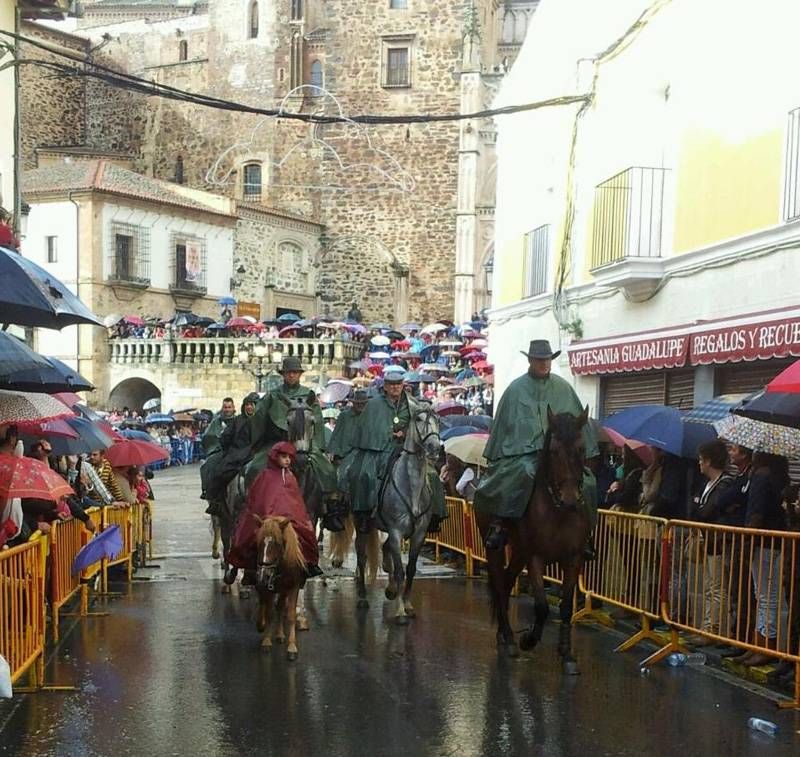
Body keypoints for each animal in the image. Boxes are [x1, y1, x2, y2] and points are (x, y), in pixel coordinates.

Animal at [256, 516, 306, 660]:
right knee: (271, 604)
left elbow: (290, 615)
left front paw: (292, 647)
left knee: (281, 606)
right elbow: (269, 613)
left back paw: (280, 634)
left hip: (284, 589)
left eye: (277, 544)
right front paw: (266, 641)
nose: (264, 575)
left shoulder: (294, 586)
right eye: (259, 543)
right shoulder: (269, 588)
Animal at [478, 404, 592, 676]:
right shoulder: (536, 558)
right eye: (553, 450)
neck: (557, 510)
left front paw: (567, 654)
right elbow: (541, 607)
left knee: (507, 582)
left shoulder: (573, 559)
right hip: (497, 549)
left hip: (518, 551)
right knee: (499, 583)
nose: (571, 499)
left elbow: (565, 606)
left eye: (581, 449)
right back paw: (509, 638)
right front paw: (528, 639)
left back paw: (503, 634)